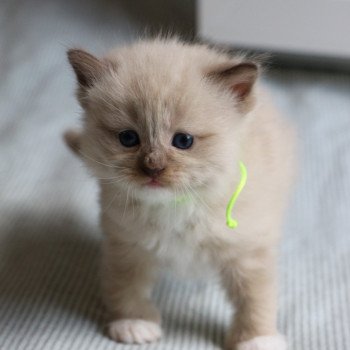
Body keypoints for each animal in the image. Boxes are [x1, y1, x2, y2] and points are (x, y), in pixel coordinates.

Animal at [64, 38, 294, 350]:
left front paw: (256, 339)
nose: (153, 167)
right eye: (128, 138)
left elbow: (255, 298)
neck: (177, 206)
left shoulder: (247, 251)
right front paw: (133, 323)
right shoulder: (126, 245)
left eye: (183, 141)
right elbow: (126, 286)